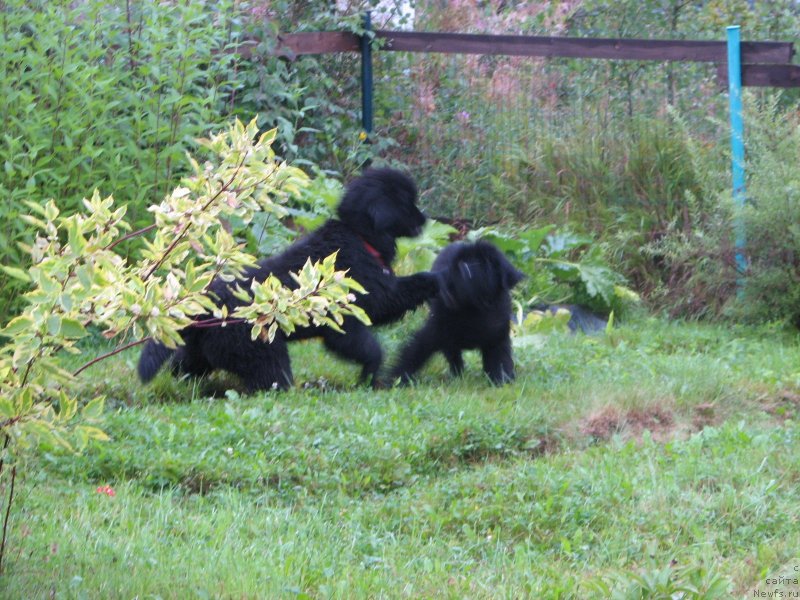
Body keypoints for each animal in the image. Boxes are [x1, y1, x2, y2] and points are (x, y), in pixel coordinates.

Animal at [138, 168, 438, 394]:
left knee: (182, 367)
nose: (426, 220)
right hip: (263, 352)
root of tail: (205, 304)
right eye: (407, 202)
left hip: (200, 350)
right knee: (272, 381)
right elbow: (374, 346)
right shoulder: (349, 317)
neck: (359, 235)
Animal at [392, 241, 524, 386]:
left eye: (464, 268)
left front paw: (502, 381)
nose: (436, 281)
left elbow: (500, 362)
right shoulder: (433, 333)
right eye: (451, 266)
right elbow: (411, 356)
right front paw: (394, 380)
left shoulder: (497, 338)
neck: (473, 312)